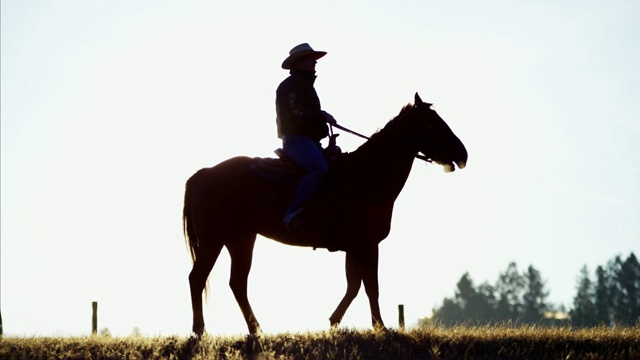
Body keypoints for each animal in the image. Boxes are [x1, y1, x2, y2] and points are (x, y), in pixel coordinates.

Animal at [182, 93, 468, 334]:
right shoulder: (368, 245)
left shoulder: (355, 247)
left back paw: (256, 330)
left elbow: (354, 285)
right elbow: (370, 287)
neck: (367, 174)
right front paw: (381, 327)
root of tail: (205, 173)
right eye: (432, 124)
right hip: (214, 240)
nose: (463, 154)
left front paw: (335, 322)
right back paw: (200, 331)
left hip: (240, 240)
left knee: (237, 284)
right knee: (198, 278)